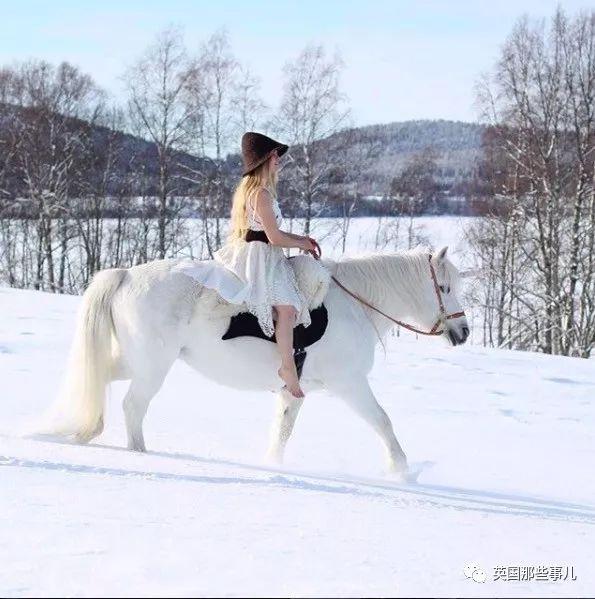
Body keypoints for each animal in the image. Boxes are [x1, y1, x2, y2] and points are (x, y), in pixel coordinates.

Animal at [49, 246, 468, 476]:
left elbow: (282, 431)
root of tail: (125, 275)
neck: (355, 306)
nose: (463, 332)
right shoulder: (349, 384)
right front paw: (402, 469)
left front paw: (273, 465)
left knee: (100, 379)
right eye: (444, 287)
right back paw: (140, 454)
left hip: (135, 361)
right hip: (153, 366)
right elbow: (382, 421)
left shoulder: (294, 391)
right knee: (133, 406)